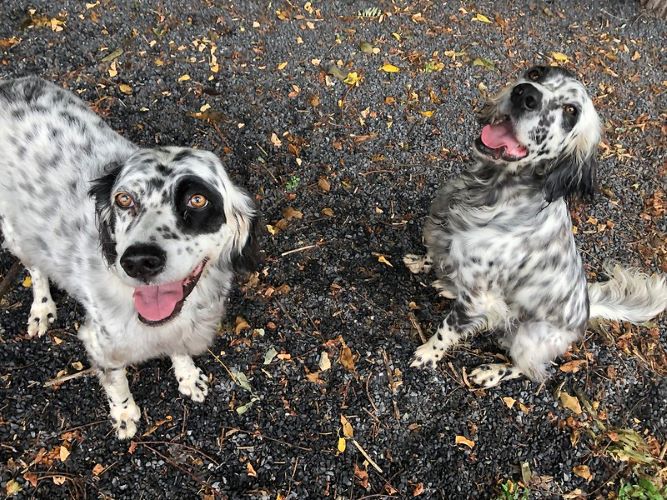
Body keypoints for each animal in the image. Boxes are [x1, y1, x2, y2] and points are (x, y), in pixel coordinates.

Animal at [0, 77, 258, 438]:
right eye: (123, 199)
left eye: (197, 200)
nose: (138, 261)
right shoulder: (100, 343)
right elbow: (116, 382)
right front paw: (124, 414)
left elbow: (180, 350)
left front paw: (188, 376)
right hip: (15, 231)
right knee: (35, 268)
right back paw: (42, 308)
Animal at [404, 65, 664, 386]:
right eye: (537, 73)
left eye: (570, 111)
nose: (525, 94)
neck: (488, 191)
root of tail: (587, 312)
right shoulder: (444, 235)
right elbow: (433, 254)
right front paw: (420, 263)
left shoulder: (478, 299)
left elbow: (447, 331)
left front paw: (427, 354)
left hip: (529, 338)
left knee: (532, 369)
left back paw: (491, 372)